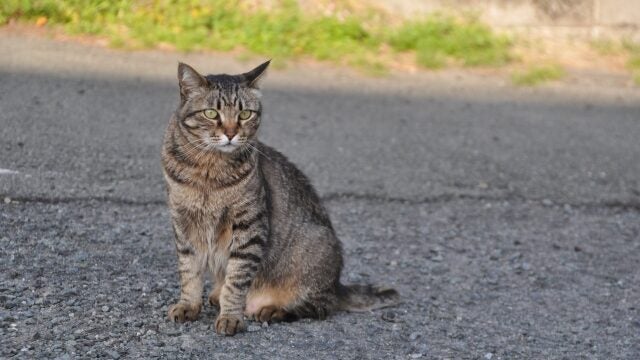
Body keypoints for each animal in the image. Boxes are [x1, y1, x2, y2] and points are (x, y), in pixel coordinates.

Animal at [161, 60, 396, 336]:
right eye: (211, 113)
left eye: (244, 114)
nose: (230, 133)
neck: (208, 170)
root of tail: (337, 285)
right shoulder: (182, 223)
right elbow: (189, 272)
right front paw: (188, 305)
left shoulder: (250, 226)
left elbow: (237, 279)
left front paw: (230, 317)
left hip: (316, 251)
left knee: (319, 307)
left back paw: (272, 310)